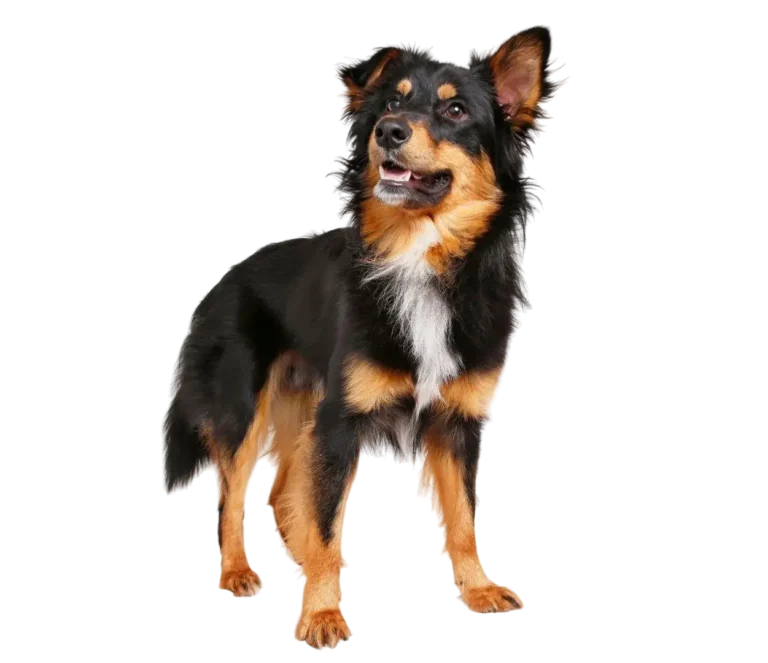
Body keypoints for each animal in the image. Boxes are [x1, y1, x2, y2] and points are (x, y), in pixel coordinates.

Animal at [165, 28, 551, 649]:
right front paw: (323, 615)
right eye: (392, 102)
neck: (421, 258)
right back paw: (238, 570)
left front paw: (477, 589)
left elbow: (464, 519)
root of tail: (226, 281)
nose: (388, 132)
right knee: (232, 498)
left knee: (281, 498)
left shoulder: (457, 423)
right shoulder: (339, 423)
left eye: (456, 111)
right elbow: (322, 524)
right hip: (242, 405)